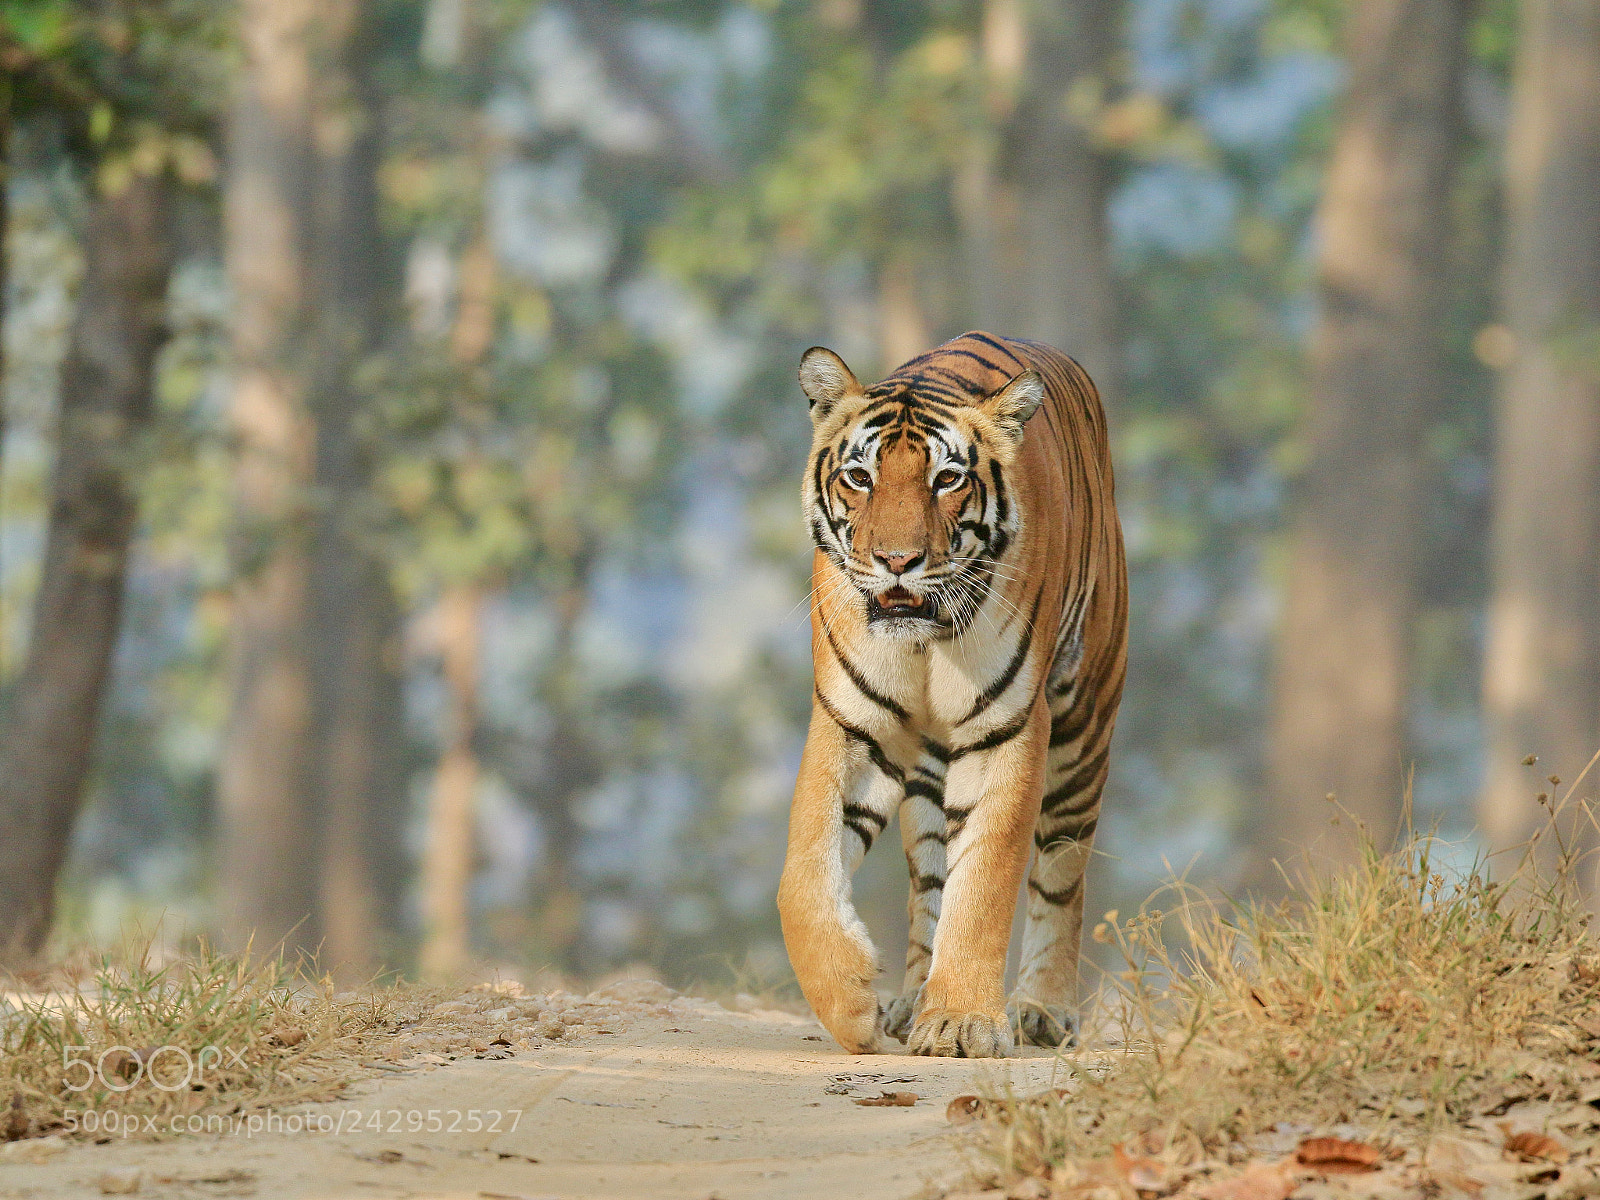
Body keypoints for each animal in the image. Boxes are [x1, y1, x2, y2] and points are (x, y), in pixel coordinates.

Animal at [776, 331, 1128, 1058]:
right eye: (860, 477)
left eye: (947, 479)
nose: (897, 562)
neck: (925, 640)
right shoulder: (851, 723)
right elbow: (805, 871)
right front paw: (850, 1001)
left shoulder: (1006, 728)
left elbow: (986, 880)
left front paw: (964, 1021)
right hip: (929, 776)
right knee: (932, 878)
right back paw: (912, 1000)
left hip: (1085, 727)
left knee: (1062, 873)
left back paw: (1041, 1011)